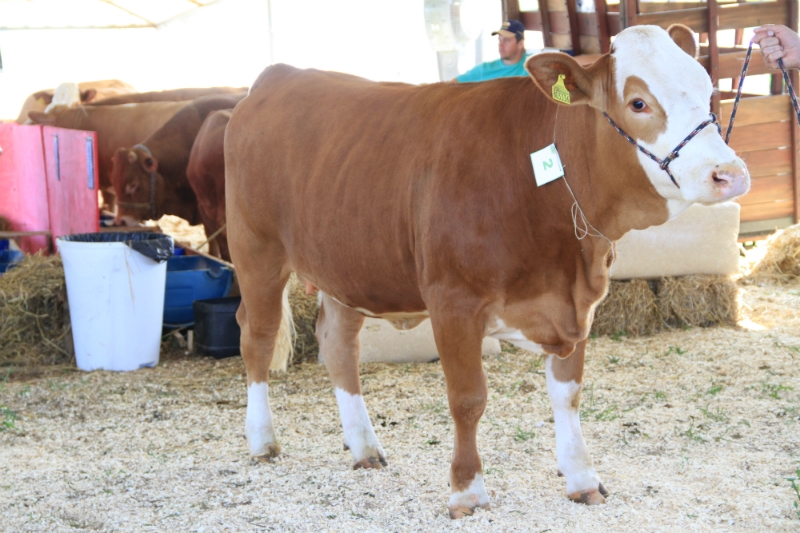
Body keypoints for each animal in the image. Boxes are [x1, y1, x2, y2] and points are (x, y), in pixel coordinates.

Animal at [223, 25, 752, 516]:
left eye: (708, 89)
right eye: (638, 102)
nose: (730, 174)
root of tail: (277, 76)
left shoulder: (577, 305)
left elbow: (568, 394)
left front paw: (581, 478)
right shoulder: (453, 301)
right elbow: (468, 398)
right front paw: (467, 491)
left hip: (347, 270)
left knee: (337, 345)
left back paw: (365, 447)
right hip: (257, 252)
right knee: (257, 337)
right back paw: (262, 440)